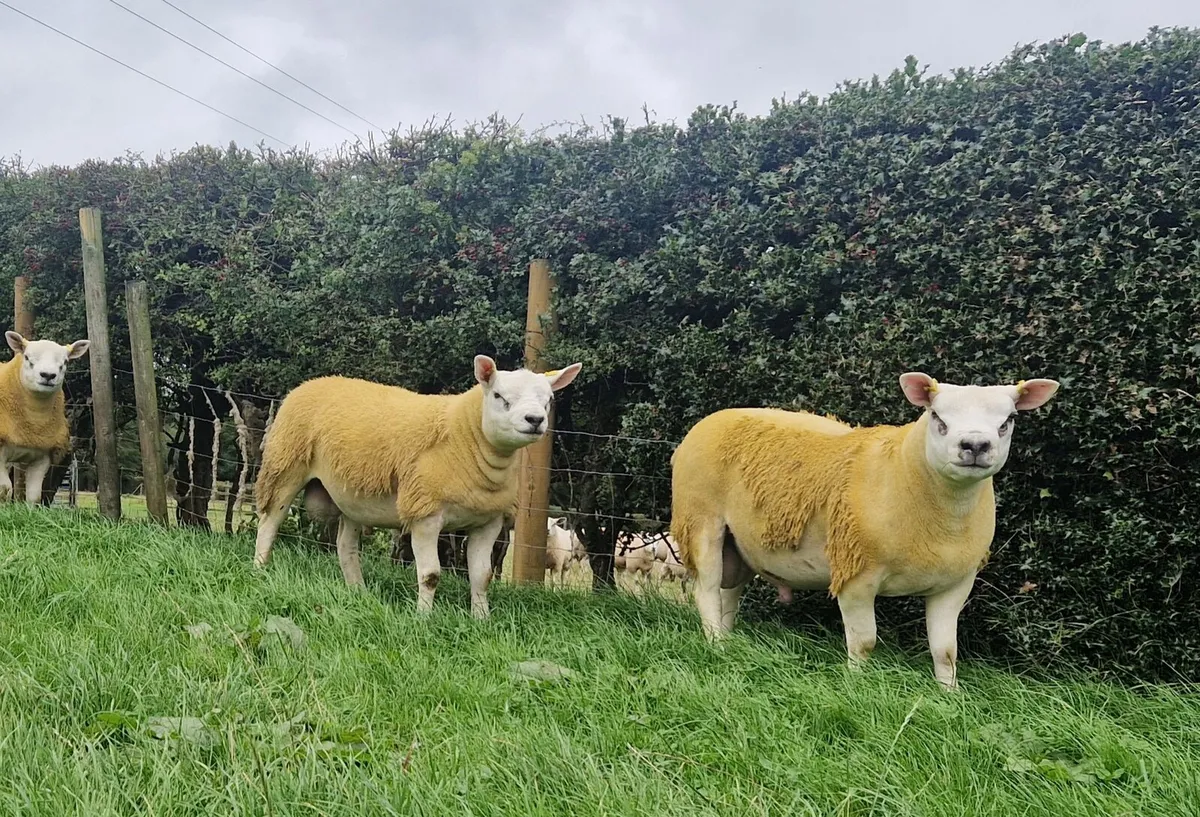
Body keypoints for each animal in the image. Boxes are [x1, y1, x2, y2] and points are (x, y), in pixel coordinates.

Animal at [0, 331, 90, 505]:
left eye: (65, 361)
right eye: (27, 357)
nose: (48, 375)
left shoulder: (43, 456)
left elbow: (34, 496)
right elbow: (4, 488)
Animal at [252, 355, 582, 618]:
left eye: (549, 401)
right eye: (500, 396)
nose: (535, 420)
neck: (464, 435)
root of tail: (312, 383)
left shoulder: (489, 521)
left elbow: (482, 575)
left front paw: (481, 619)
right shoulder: (426, 513)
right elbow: (430, 574)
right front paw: (423, 618)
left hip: (353, 494)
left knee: (345, 545)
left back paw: (358, 591)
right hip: (285, 466)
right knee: (269, 523)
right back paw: (260, 569)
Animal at [669, 372, 1059, 690]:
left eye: (1008, 420)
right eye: (937, 417)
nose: (975, 446)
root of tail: (714, 418)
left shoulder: (955, 584)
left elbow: (946, 651)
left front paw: (950, 696)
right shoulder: (856, 576)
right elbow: (864, 642)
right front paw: (856, 685)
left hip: (738, 546)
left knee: (729, 593)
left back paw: (728, 639)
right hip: (701, 521)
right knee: (706, 590)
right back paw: (716, 645)